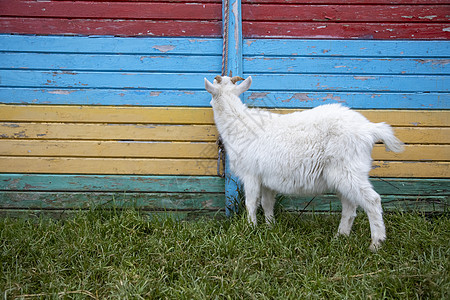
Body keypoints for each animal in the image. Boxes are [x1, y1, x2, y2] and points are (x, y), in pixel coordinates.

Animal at [205, 75, 404, 251]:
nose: (209, 104)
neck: (239, 123)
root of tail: (369, 130)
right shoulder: (267, 177)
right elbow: (267, 203)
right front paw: (270, 227)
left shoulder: (251, 173)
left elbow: (251, 203)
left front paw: (251, 228)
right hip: (343, 175)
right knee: (350, 205)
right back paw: (340, 236)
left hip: (348, 170)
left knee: (372, 200)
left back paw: (375, 244)